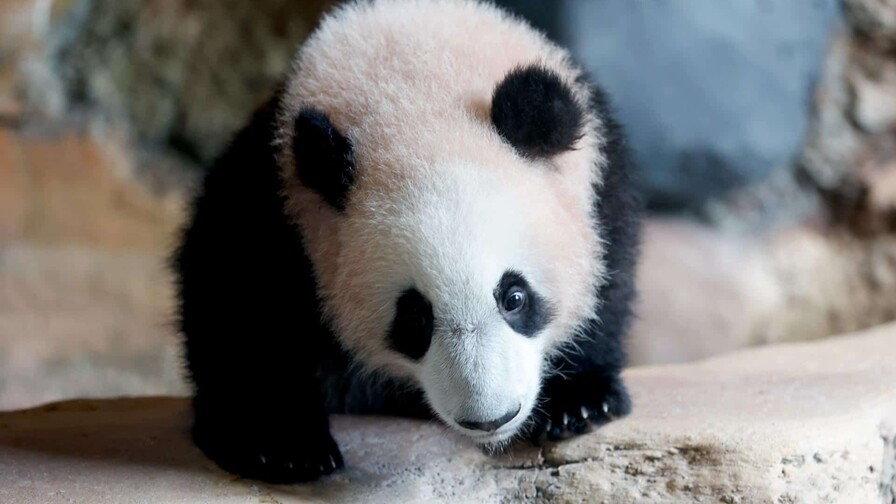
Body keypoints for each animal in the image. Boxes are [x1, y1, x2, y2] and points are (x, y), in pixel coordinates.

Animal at [174, 0, 641, 484]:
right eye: (414, 316)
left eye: (514, 297)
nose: (490, 419)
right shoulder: (274, 194)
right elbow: (233, 298)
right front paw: (283, 444)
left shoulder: (598, 178)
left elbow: (609, 278)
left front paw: (578, 402)